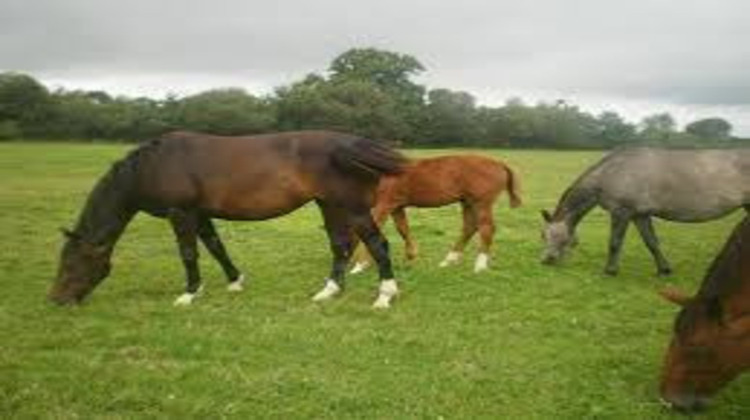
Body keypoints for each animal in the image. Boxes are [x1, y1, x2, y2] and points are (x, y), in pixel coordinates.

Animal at [48, 130, 406, 308]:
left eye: (72, 263)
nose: (57, 300)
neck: (153, 165)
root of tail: (353, 143)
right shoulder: (200, 214)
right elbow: (215, 246)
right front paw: (235, 281)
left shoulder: (181, 213)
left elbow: (188, 253)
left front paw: (189, 294)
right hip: (329, 205)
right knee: (340, 245)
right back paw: (328, 292)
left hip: (352, 207)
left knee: (378, 244)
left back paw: (385, 295)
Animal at [348, 156, 520, 274]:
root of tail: (499, 163)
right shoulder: (396, 206)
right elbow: (403, 229)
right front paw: (411, 256)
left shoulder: (385, 204)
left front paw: (360, 265)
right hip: (467, 202)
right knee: (469, 228)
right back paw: (448, 261)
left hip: (481, 203)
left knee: (486, 228)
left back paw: (480, 265)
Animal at [544, 148, 750, 276]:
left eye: (545, 234)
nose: (546, 260)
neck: (611, 172)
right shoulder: (639, 215)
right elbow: (651, 242)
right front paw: (664, 270)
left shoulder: (621, 212)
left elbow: (614, 243)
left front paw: (610, 271)